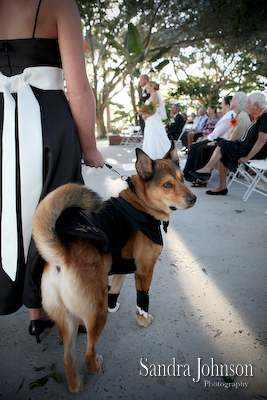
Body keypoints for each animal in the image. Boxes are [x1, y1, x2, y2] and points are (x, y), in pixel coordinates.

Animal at [32, 142, 198, 392]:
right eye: (167, 185)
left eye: (183, 178)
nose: (194, 198)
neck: (139, 204)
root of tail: (62, 253)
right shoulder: (144, 271)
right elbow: (142, 301)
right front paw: (143, 320)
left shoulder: (120, 268)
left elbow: (115, 289)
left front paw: (114, 305)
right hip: (95, 314)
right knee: (87, 353)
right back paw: (95, 367)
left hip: (65, 319)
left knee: (68, 358)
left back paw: (76, 384)